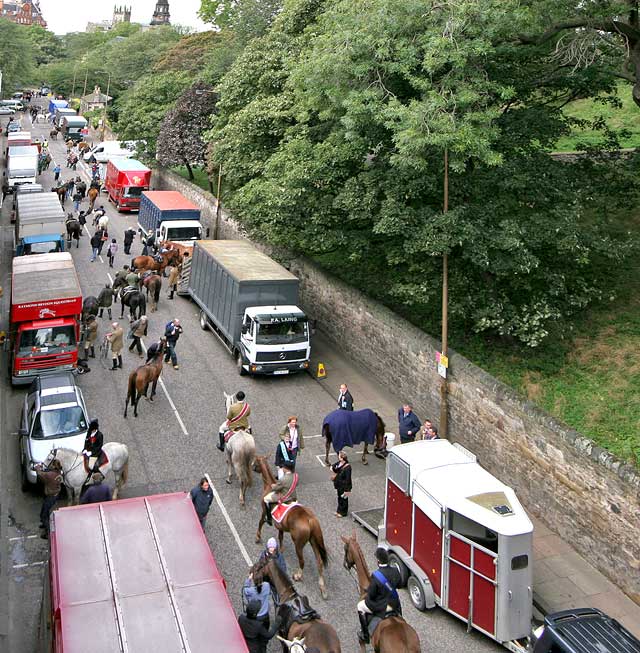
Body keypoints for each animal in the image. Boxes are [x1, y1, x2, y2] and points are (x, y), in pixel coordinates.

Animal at [252, 456, 330, 600]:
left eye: (255, 461)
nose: (252, 467)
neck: (270, 486)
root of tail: (310, 519)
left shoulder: (263, 511)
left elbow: (260, 523)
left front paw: (257, 537)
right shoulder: (281, 527)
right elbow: (280, 536)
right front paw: (281, 549)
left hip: (299, 544)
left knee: (302, 561)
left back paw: (298, 576)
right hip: (313, 542)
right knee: (319, 563)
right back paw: (322, 588)